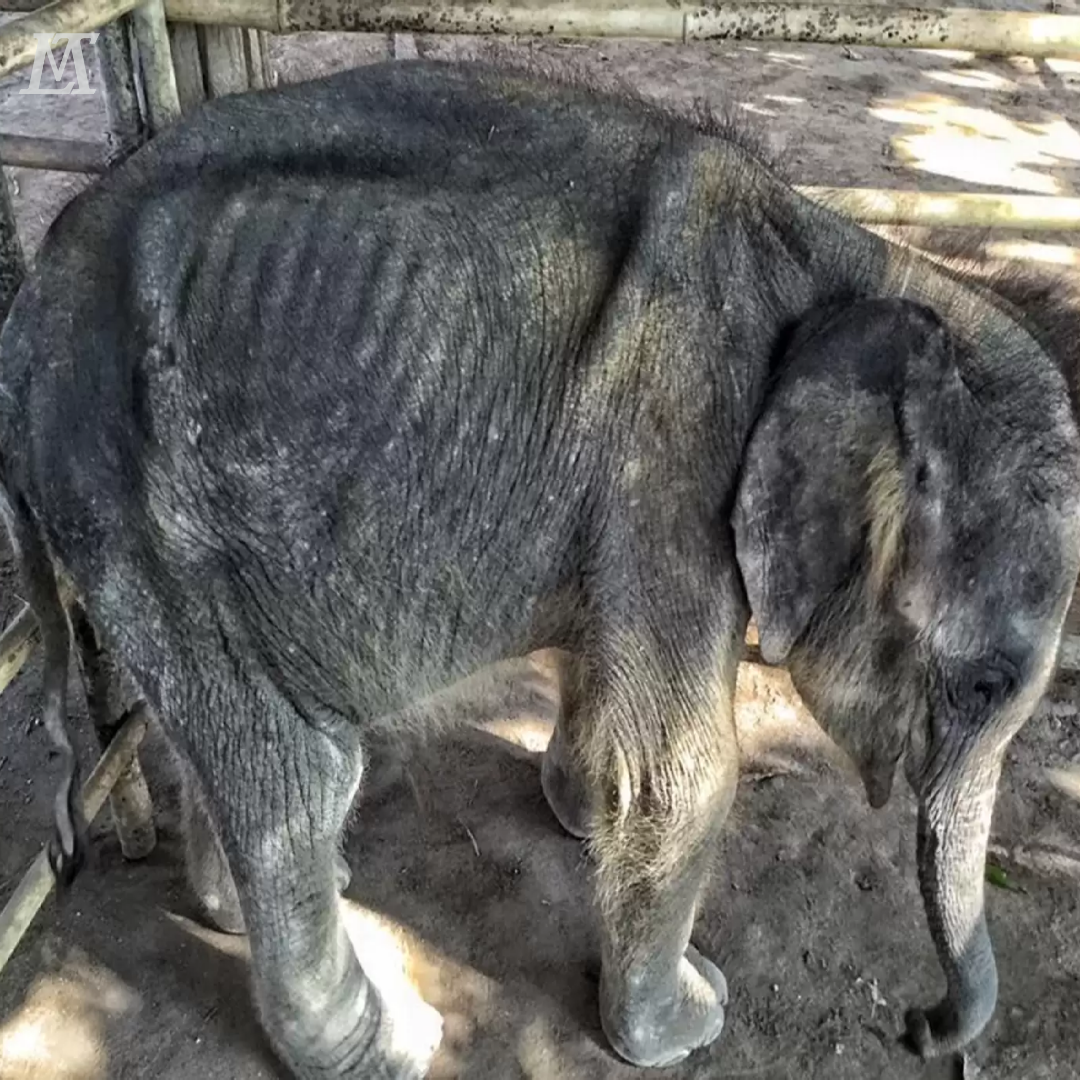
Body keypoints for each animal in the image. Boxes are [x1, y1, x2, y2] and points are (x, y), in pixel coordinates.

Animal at [1, 57, 1078, 1078]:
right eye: (984, 684)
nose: (918, 1028)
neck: (862, 263)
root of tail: (27, 313)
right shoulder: (674, 452)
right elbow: (683, 775)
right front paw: (691, 1021)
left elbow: (598, 662)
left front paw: (578, 818)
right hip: (138, 515)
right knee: (294, 780)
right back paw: (396, 1043)